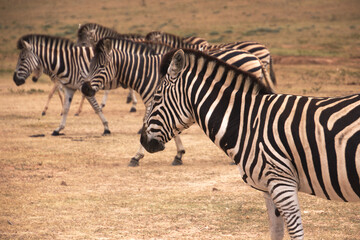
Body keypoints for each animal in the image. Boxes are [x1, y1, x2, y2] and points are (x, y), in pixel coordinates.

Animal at [81, 37, 272, 167]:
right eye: (90, 65)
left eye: (101, 66)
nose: (84, 88)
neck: (145, 73)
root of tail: (253, 56)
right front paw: (179, 154)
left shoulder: (157, 100)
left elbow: (153, 125)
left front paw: (138, 156)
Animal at [140, 47, 360, 239]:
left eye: (157, 98)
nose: (142, 139)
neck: (247, 121)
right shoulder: (269, 188)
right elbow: (276, 232)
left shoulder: (282, 182)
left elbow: (296, 233)